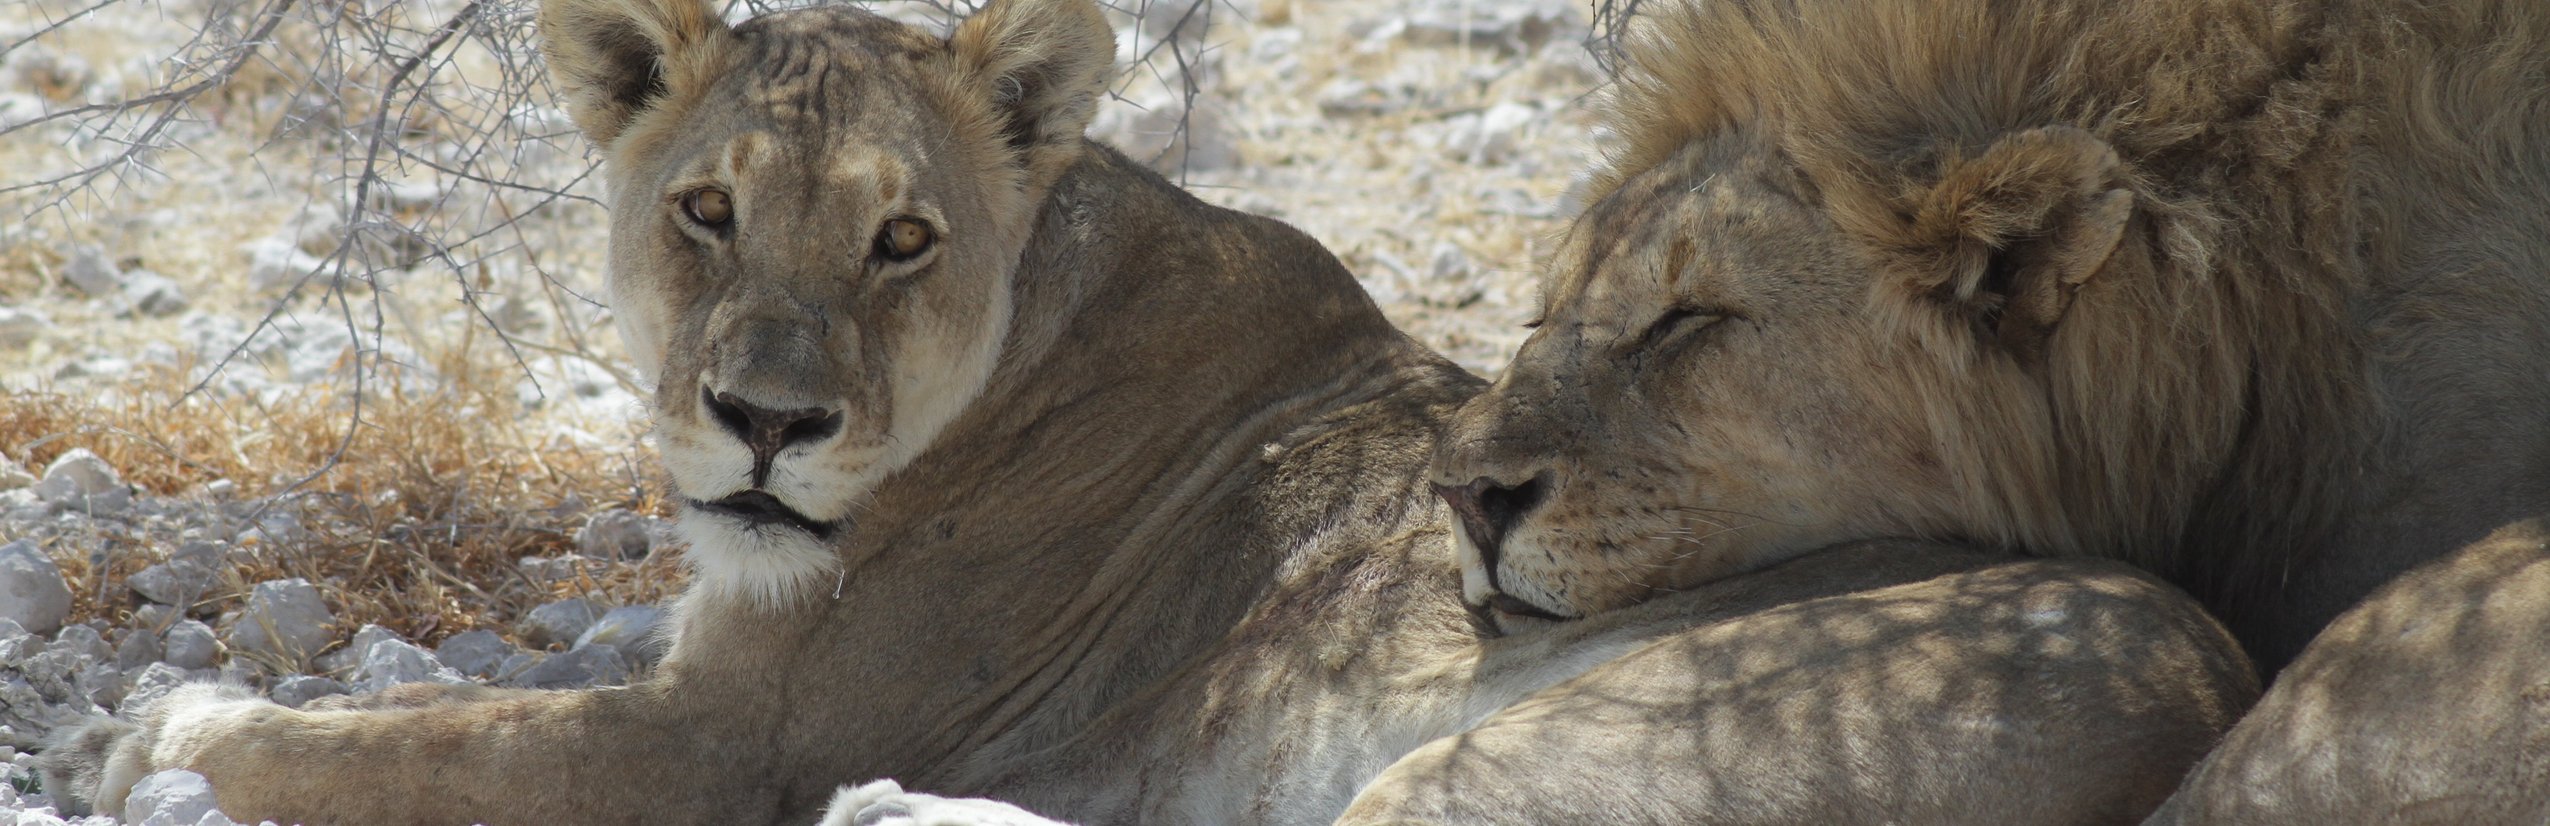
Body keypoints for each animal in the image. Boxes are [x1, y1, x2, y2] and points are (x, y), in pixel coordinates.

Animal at [44, 3, 2254, 820]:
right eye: (706, 211)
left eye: (904, 238)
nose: (762, 421)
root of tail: (2217, 677)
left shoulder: (738, 737)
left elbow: (428, 735)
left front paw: (177, 729)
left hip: (1519, 767)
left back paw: (896, 814)